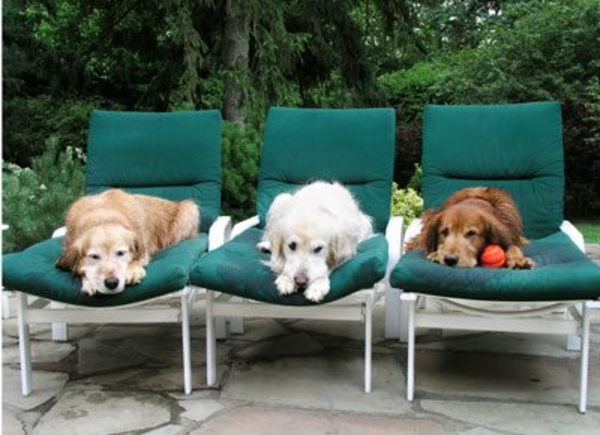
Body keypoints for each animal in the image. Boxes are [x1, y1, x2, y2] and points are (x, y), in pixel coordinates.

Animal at [56, 189, 199, 296]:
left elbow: (137, 258)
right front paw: (89, 282)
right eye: (94, 256)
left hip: (189, 211)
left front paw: (133, 271)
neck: (102, 216)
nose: (112, 283)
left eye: (121, 253)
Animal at [406, 187, 535, 269]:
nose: (450, 259)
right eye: (444, 232)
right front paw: (437, 254)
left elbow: (513, 246)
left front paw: (518, 259)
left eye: (471, 233)